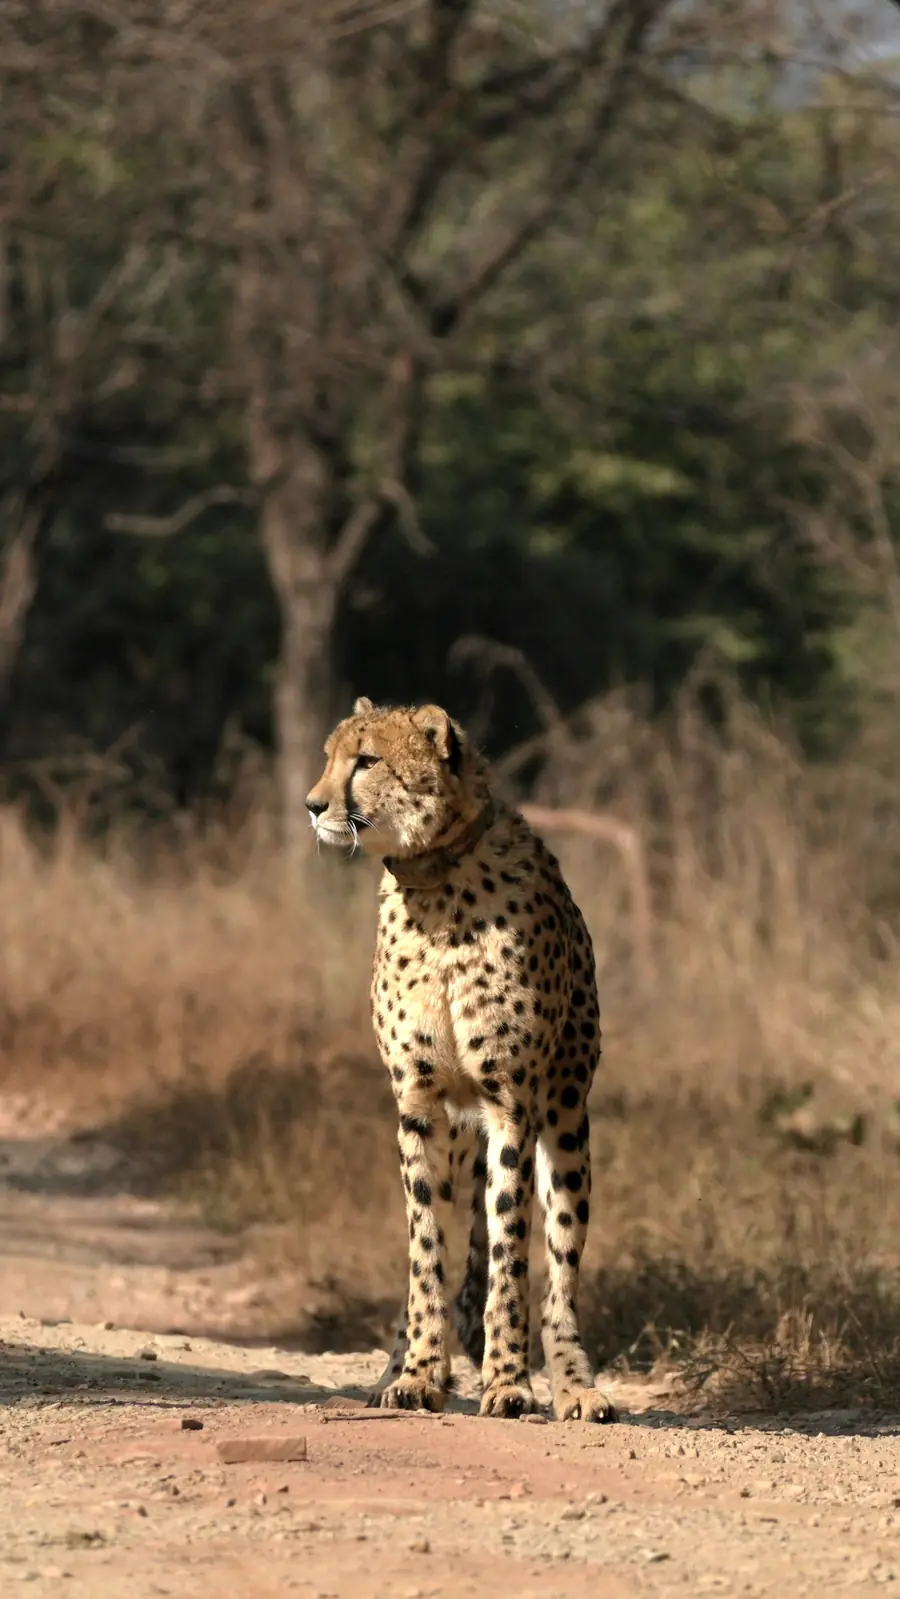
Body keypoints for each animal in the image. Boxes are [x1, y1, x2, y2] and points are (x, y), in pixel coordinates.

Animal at [306, 696, 617, 1423]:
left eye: (367, 760)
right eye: (330, 757)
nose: (312, 804)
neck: (436, 885)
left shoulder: (512, 1105)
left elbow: (510, 1254)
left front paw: (509, 1382)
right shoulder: (418, 1105)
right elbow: (427, 1253)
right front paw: (418, 1373)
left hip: (567, 1121)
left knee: (561, 1270)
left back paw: (574, 1385)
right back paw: (402, 1368)